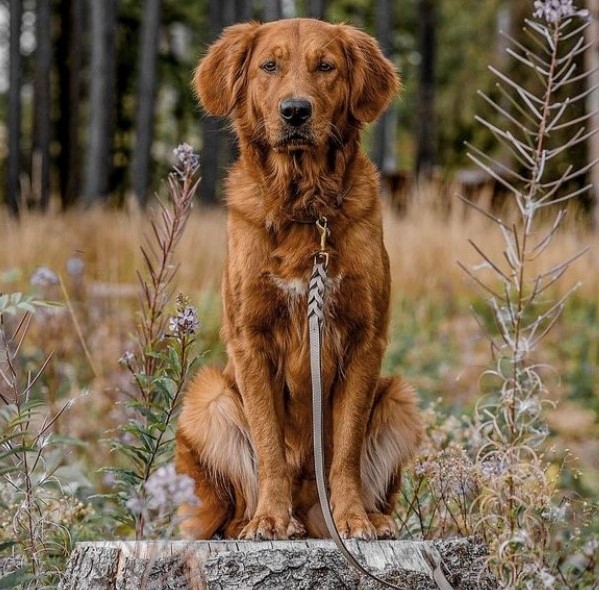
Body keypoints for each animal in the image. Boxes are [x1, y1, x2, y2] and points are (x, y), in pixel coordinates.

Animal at [176, 18, 424, 544]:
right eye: (269, 66)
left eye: (325, 67)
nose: (294, 111)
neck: (305, 207)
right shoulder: (250, 340)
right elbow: (269, 446)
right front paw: (270, 518)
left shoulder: (365, 339)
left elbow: (345, 449)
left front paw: (351, 518)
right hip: (208, 397)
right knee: (229, 511)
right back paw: (262, 520)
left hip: (399, 398)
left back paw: (365, 518)